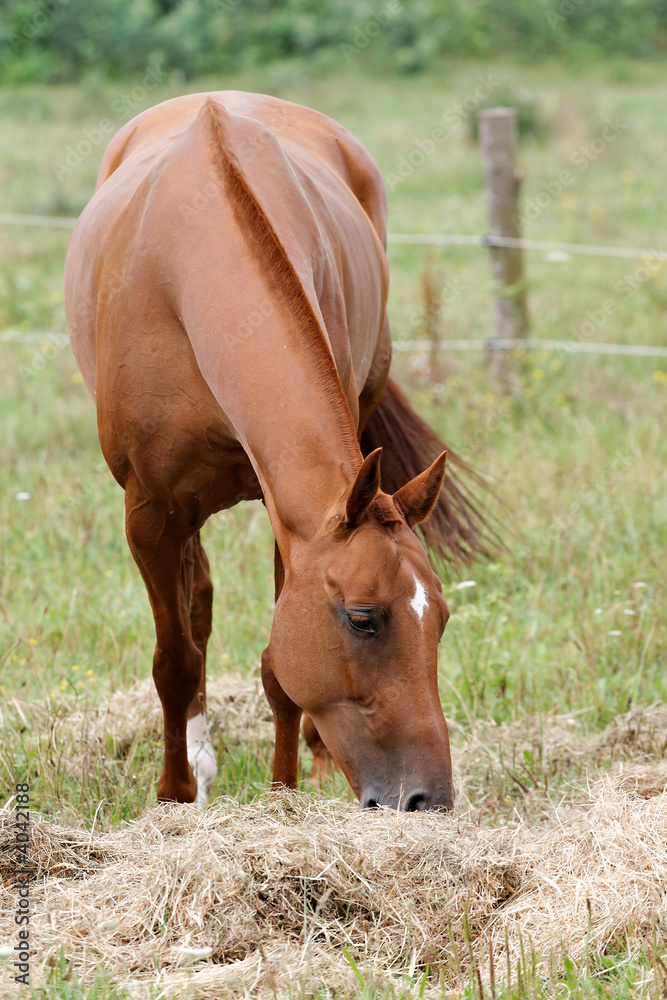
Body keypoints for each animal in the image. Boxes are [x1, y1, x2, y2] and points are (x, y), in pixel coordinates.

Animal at [64, 91, 492, 812]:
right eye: (364, 620)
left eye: (440, 618)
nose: (426, 798)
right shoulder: (149, 513)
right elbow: (174, 660)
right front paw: (174, 797)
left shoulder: (286, 514)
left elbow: (276, 666)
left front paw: (283, 797)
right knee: (195, 610)